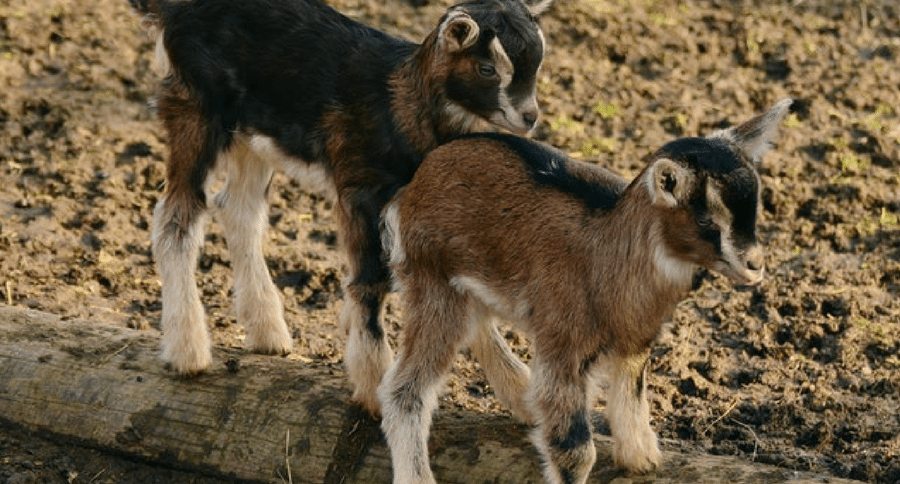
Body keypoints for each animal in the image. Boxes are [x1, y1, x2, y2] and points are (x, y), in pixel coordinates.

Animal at [128, 0, 552, 410]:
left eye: (537, 63)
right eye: (487, 68)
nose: (529, 117)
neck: (398, 104)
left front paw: (519, 393)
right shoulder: (360, 189)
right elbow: (370, 280)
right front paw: (373, 386)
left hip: (253, 131)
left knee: (238, 209)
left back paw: (267, 331)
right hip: (195, 108)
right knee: (176, 218)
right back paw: (188, 352)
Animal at [377, 99, 793, 484]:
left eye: (754, 210)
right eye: (707, 220)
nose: (755, 265)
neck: (605, 254)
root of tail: (417, 180)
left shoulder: (635, 340)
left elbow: (632, 395)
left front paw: (641, 459)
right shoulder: (564, 345)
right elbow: (574, 449)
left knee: (477, 326)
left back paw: (524, 399)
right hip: (431, 280)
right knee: (404, 390)